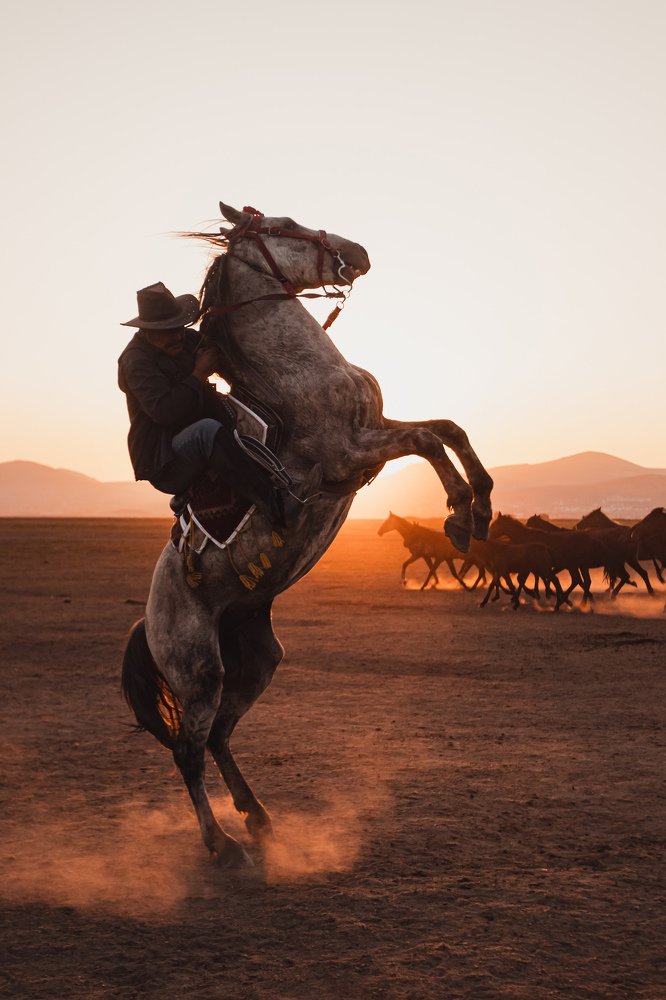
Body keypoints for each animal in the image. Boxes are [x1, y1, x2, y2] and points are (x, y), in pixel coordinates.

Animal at [121, 202, 494, 865]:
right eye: (284, 223)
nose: (359, 252)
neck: (298, 375)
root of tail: (149, 619)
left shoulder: (376, 429)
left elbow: (448, 427)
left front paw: (479, 507)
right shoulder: (351, 453)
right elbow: (429, 440)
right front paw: (457, 513)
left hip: (255, 658)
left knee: (218, 736)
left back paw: (258, 816)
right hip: (200, 671)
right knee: (189, 751)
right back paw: (221, 843)